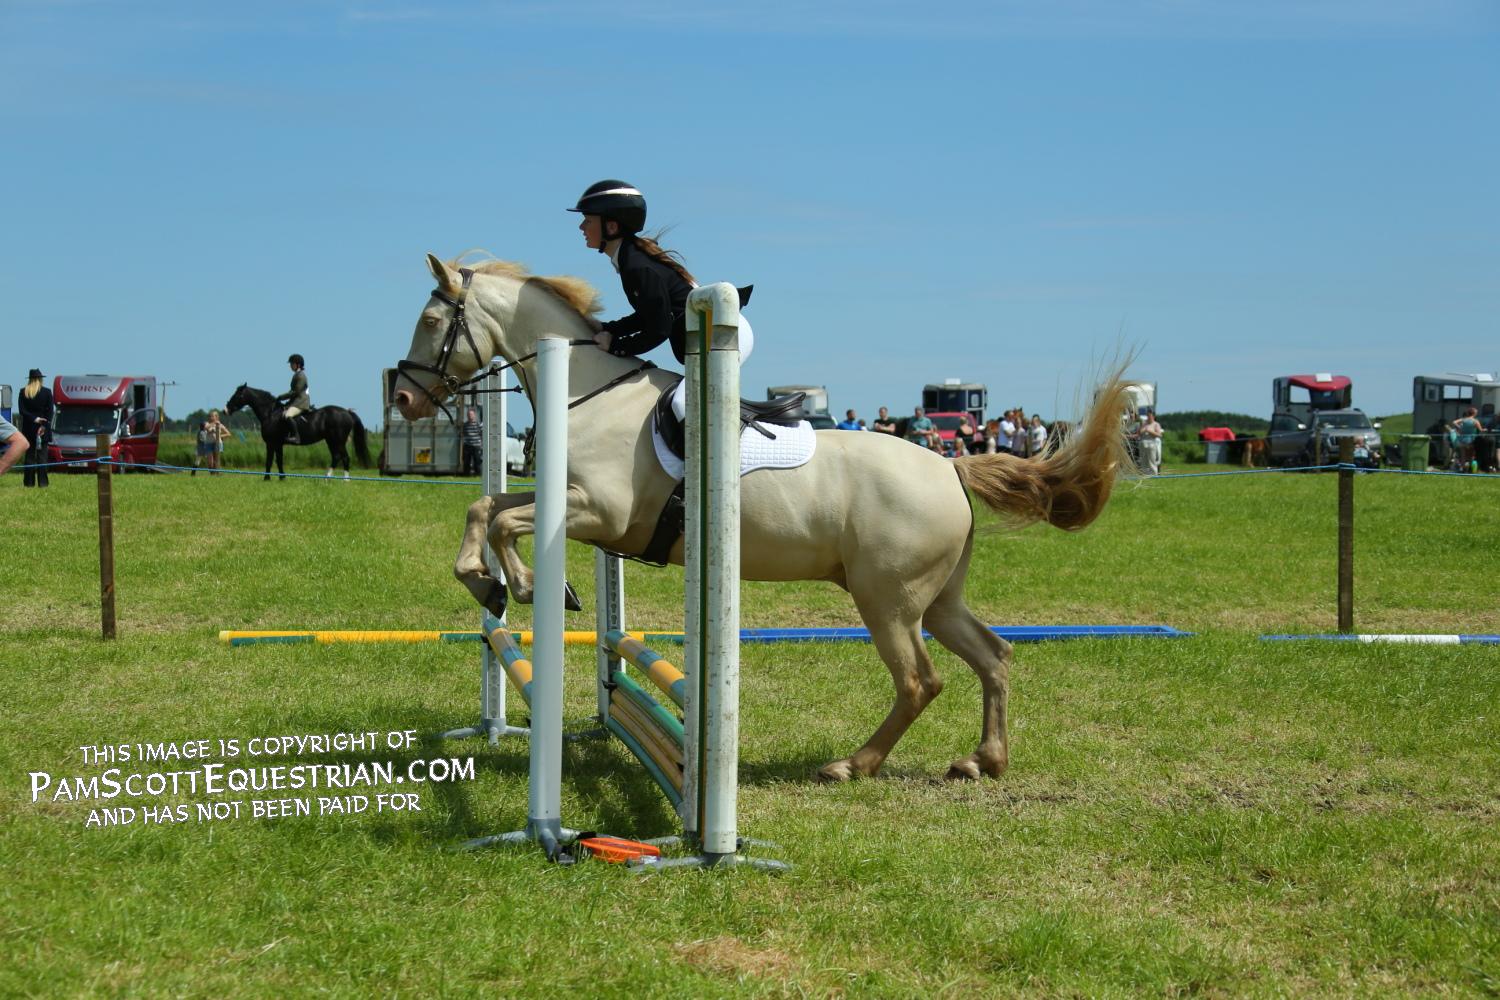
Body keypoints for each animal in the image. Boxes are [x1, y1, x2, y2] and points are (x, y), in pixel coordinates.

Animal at [225, 384, 371, 481]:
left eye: (238, 395)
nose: (226, 410)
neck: (271, 414)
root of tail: (347, 412)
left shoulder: (271, 443)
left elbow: (269, 460)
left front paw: (266, 479)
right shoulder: (278, 444)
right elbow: (279, 460)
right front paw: (282, 478)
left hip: (338, 440)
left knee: (344, 457)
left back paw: (344, 480)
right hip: (330, 440)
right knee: (336, 457)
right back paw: (327, 478)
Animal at [392, 254, 1133, 783]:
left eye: (429, 321)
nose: (402, 398)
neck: (587, 393)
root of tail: (951, 467)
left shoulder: (597, 511)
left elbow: (503, 523)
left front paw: (523, 586)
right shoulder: (568, 502)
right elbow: (484, 507)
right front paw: (485, 583)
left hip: (888, 599)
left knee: (920, 681)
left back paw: (852, 765)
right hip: (937, 598)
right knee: (993, 656)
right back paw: (982, 761)